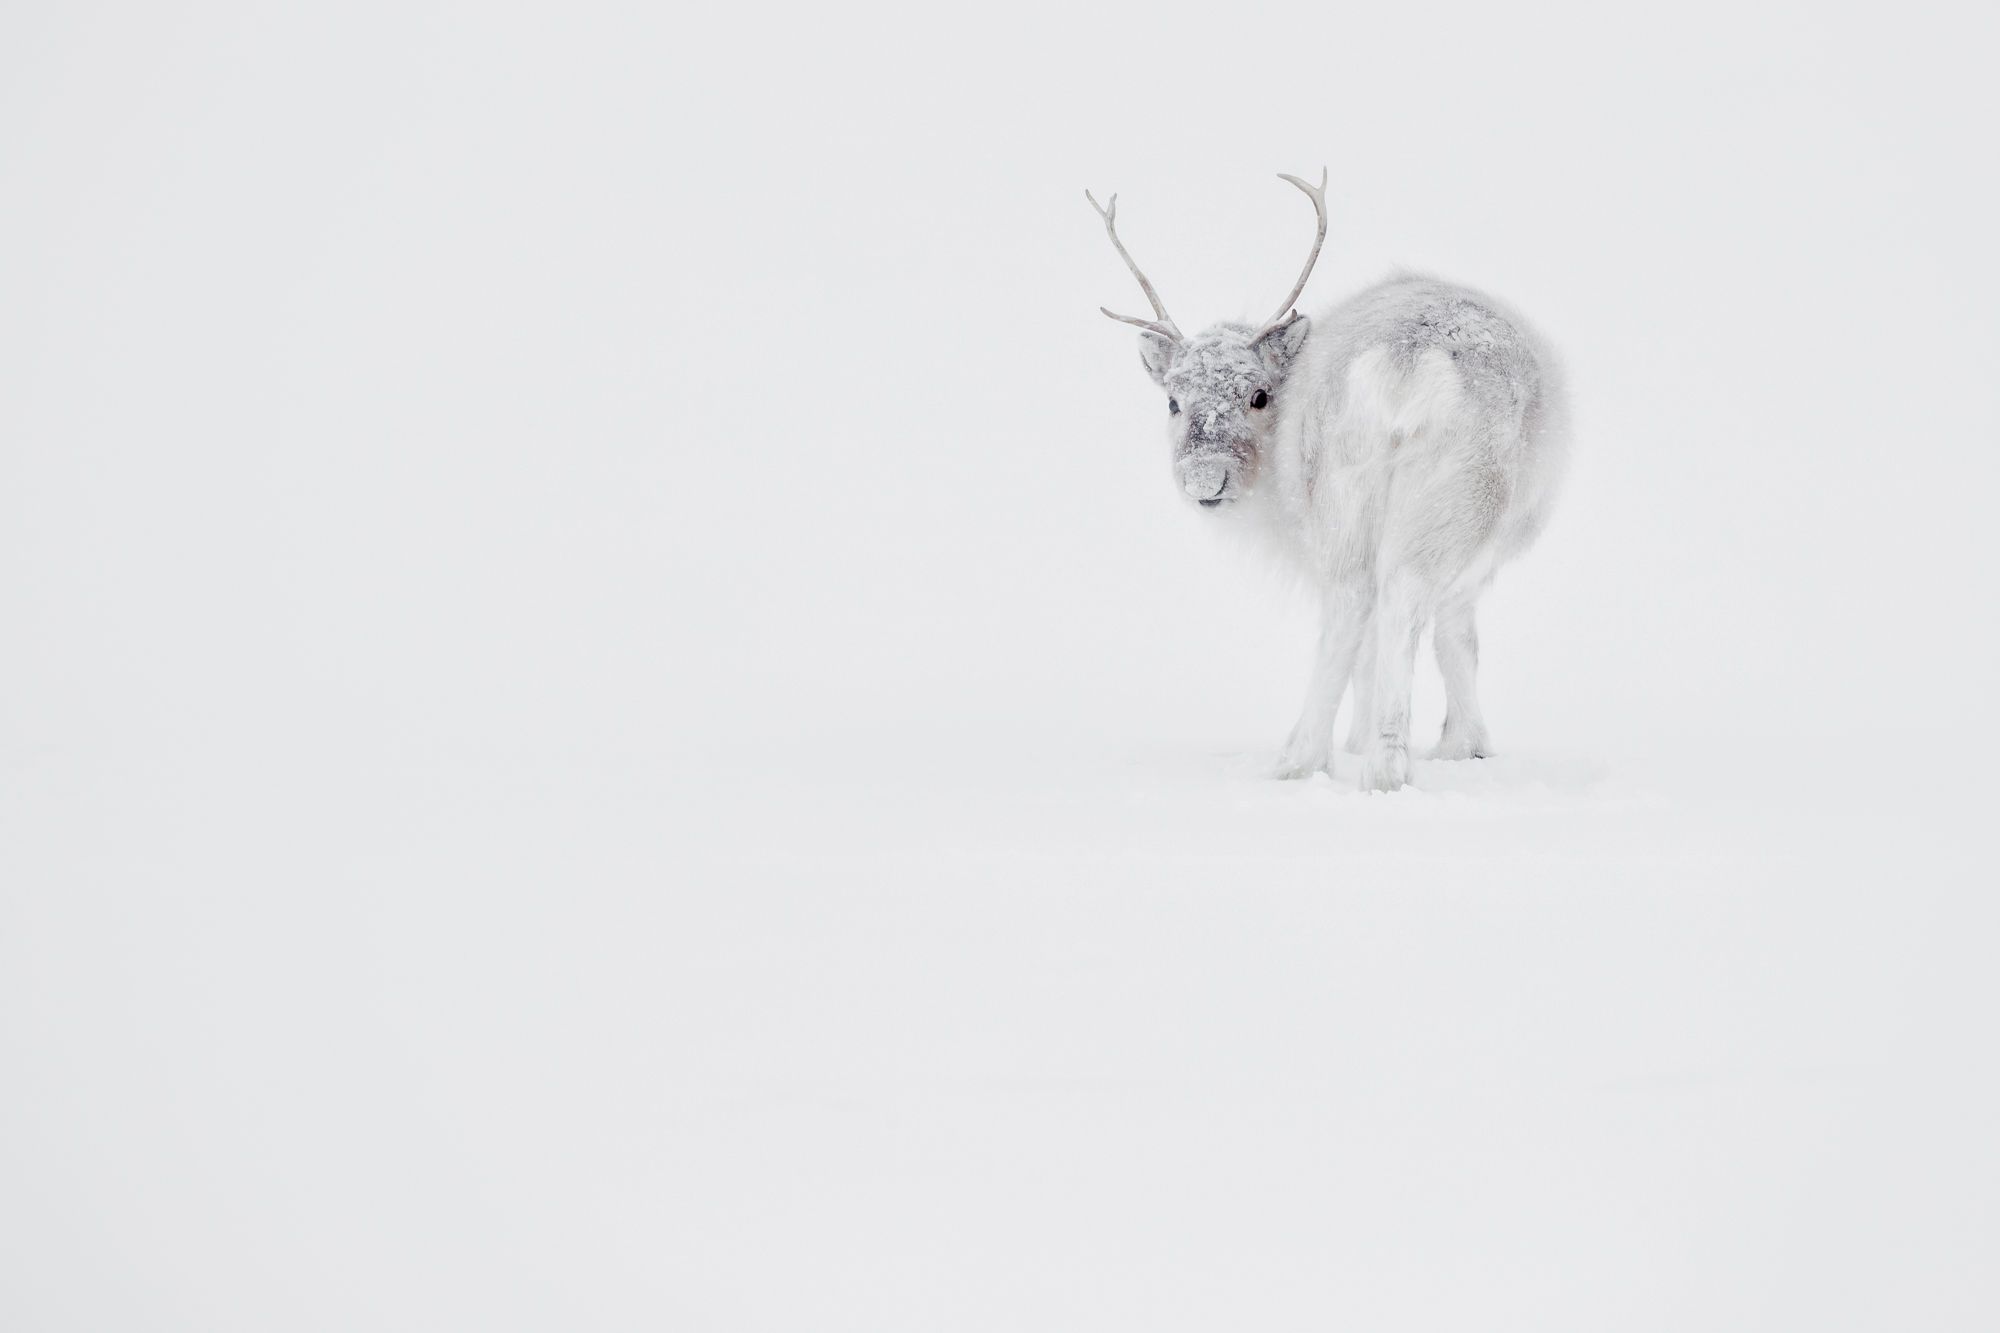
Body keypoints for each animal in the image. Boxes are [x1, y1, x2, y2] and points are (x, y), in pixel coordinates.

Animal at [1086, 170, 1570, 792]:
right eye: (1172, 401)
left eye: (1259, 395)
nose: (1205, 481)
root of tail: (1406, 357)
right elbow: (1455, 640)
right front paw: (1464, 747)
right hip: (1451, 499)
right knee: (1397, 601)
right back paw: (1383, 765)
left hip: (1351, 488)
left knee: (1354, 603)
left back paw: (1305, 760)